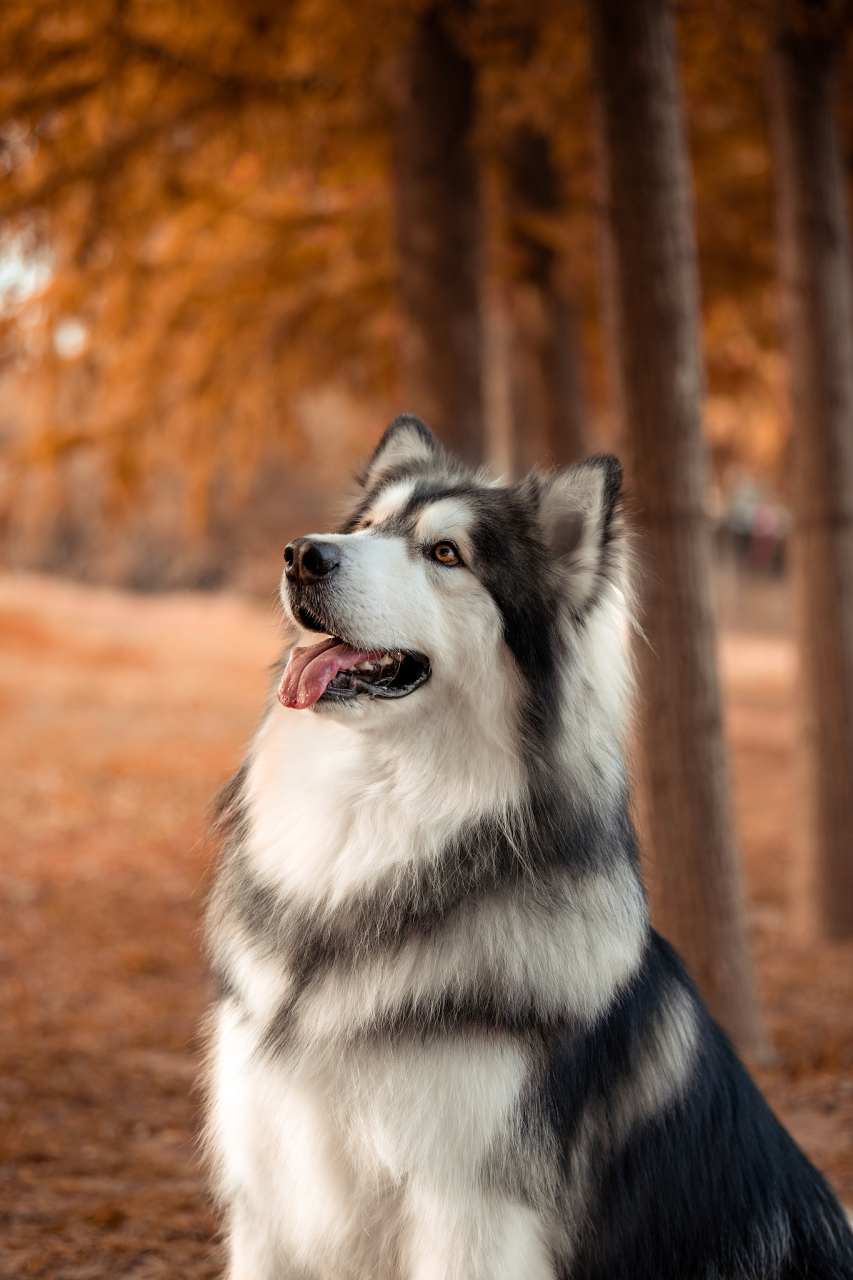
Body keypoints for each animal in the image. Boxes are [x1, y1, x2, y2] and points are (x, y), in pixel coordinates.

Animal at [202, 417, 850, 1280]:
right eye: (367, 527)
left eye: (446, 554)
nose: (304, 554)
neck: (364, 843)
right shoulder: (270, 1199)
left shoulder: (469, 1212)